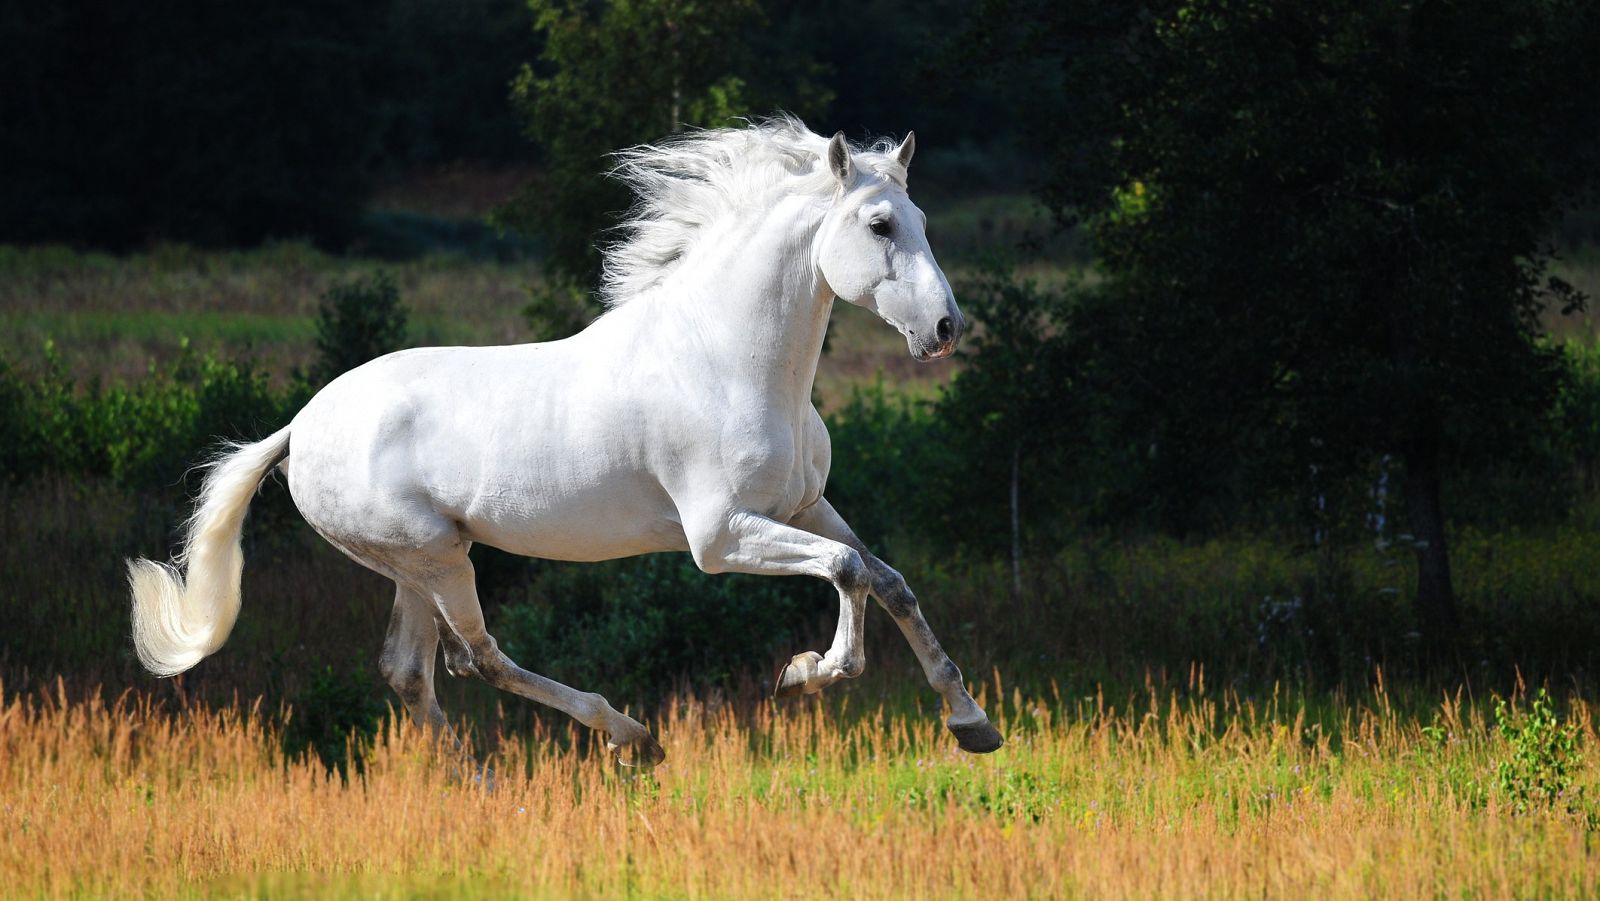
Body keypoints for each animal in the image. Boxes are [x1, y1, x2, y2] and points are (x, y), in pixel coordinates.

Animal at [128, 116, 998, 764]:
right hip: (435, 557)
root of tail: (301, 427)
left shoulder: (806, 505)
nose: (945, 329)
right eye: (879, 224)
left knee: (411, 672)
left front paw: (971, 721)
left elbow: (889, 580)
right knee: (475, 656)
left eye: (923, 221)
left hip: (416, 563)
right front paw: (810, 671)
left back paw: (483, 786)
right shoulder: (719, 537)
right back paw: (629, 736)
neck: (727, 359)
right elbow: (848, 571)